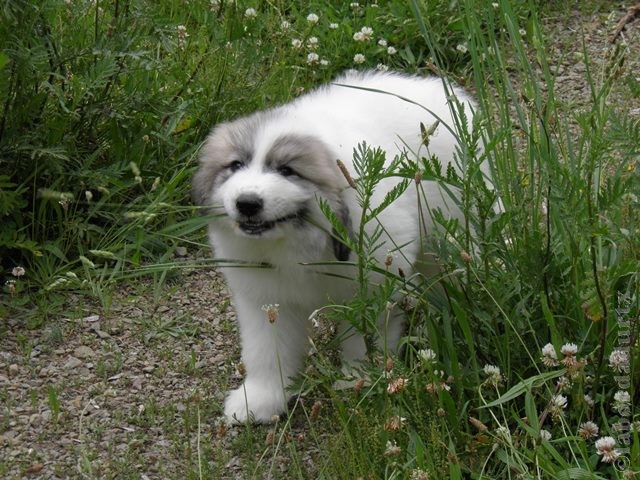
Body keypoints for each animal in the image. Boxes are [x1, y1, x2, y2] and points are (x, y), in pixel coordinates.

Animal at [195, 69, 480, 422]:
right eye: (236, 165)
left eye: (287, 170)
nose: (247, 203)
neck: (298, 244)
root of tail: (438, 88)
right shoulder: (265, 298)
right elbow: (267, 349)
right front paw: (260, 400)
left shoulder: (372, 287)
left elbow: (363, 337)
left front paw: (360, 378)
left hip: (447, 233)